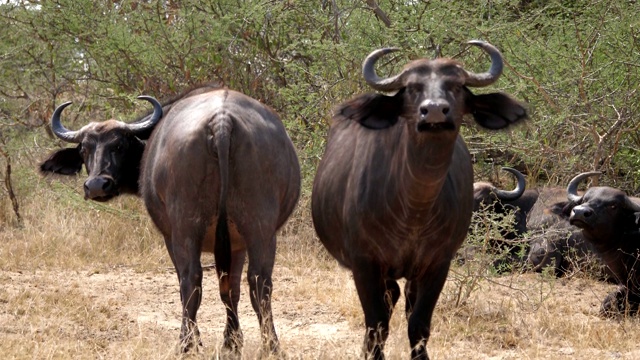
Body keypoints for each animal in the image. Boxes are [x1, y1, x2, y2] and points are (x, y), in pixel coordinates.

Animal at [39, 86, 300, 354]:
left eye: (119, 145)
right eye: (84, 149)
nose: (96, 185)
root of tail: (222, 121)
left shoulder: (170, 236)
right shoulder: (237, 243)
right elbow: (230, 289)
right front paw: (232, 342)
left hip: (186, 228)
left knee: (190, 280)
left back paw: (186, 343)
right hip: (261, 230)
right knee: (259, 281)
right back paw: (271, 345)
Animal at [312, 40, 528, 360]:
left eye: (457, 86)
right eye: (413, 88)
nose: (435, 111)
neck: (413, 209)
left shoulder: (438, 264)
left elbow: (419, 323)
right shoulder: (364, 263)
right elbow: (376, 323)